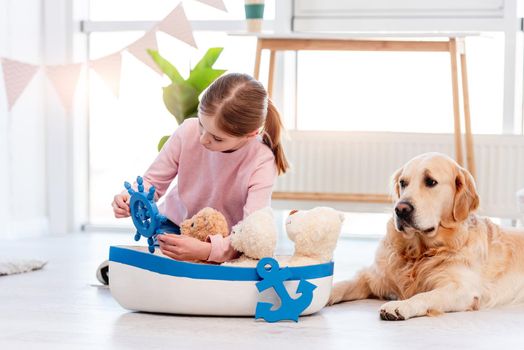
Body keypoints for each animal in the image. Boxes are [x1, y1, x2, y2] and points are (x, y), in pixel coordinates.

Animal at [330, 152, 524, 322]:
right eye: (403, 183)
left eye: (431, 181)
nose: (400, 209)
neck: (418, 252)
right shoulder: (373, 277)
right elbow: (343, 284)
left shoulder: (462, 289)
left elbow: (425, 295)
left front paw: (401, 305)